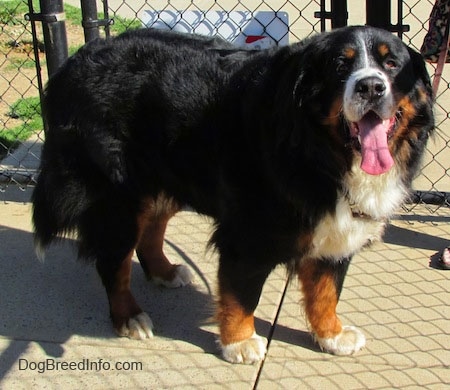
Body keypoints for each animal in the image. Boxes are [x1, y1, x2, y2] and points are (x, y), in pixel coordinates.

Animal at [31, 25, 432, 364]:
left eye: (392, 64)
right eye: (340, 66)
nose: (371, 87)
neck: (318, 149)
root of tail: (73, 62)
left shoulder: (337, 231)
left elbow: (326, 291)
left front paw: (331, 334)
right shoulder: (249, 235)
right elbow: (241, 295)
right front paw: (239, 342)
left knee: (152, 230)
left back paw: (164, 271)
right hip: (118, 198)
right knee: (113, 262)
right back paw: (129, 316)